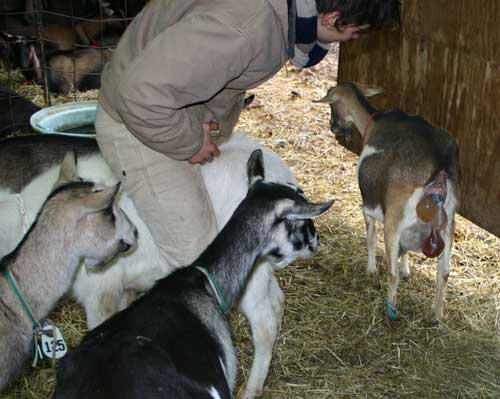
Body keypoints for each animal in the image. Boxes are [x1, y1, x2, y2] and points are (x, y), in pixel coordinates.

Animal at [316, 82, 460, 322]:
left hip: (394, 220)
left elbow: (370, 237)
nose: (333, 127)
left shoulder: (368, 205)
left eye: (332, 105)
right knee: (444, 273)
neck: (375, 121)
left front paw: (371, 270)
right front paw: (407, 270)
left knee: (391, 273)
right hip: (448, 227)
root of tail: (438, 167)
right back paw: (438, 315)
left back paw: (391, 310)